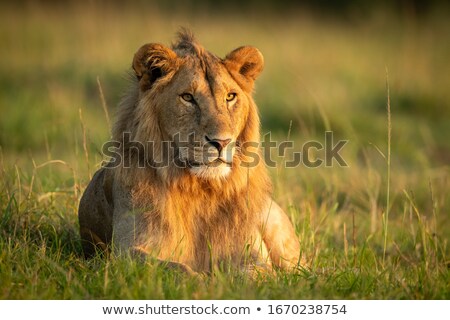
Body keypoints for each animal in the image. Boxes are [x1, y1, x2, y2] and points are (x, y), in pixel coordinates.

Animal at [78, 30, 306, 274]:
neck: (201, 190)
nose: (222, 142)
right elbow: (178, 270)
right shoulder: (126, 252)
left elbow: (254, 272)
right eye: (188, 97)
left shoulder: (253, 253)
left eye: (230, 97)